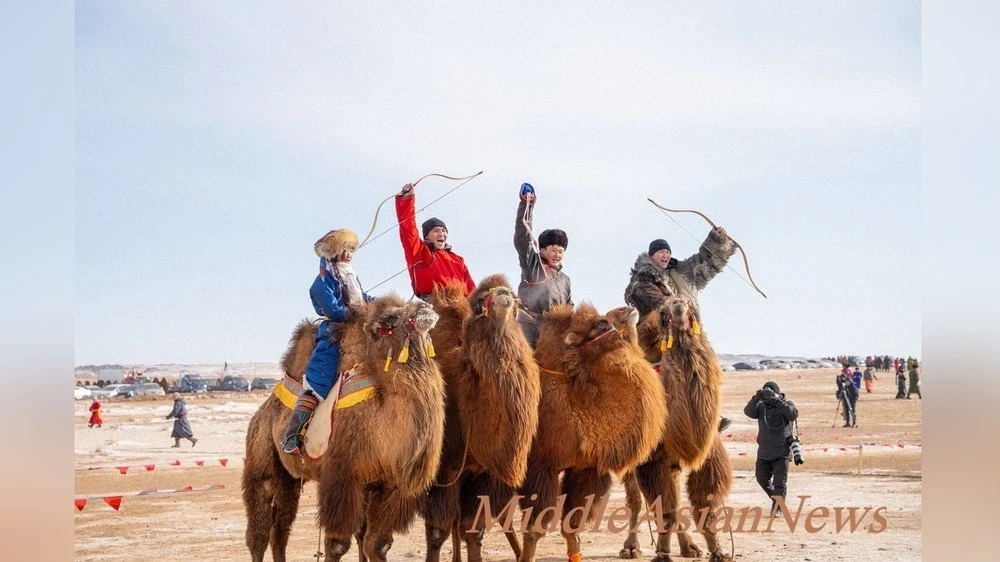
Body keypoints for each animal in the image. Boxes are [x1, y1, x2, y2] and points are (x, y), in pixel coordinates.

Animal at [242, 295, 446, 562]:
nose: (426, 306)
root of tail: (260, 413)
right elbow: (337, 544)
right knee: (260, 529)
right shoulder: (342, 476)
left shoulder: (392, 485)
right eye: (390, 318)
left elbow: (377, 543)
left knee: (281, 528)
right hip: (261, 460)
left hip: (290, 478)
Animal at [422, 275, 541, 562]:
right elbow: (437, 531)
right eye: (477, 305)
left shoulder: (483, 473)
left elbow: (472, 529)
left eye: (515, 299)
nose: (503, 294)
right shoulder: (444, 469)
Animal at [517, 303, 667, 562]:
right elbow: (534, 527)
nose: (628, 308)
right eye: (601, 323)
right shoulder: (539, 466)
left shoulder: (586, 468)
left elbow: (572, 524)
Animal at [618, 294, 733, 562]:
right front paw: (662, 554)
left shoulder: (708, 455)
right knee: (635, 500)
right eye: (664, 312)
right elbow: (665, 510)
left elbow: (705, 509)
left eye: (692, 308)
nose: (679, 305)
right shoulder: (652, 460)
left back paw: (689, 547)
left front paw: (718, 552)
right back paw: (631, 548)